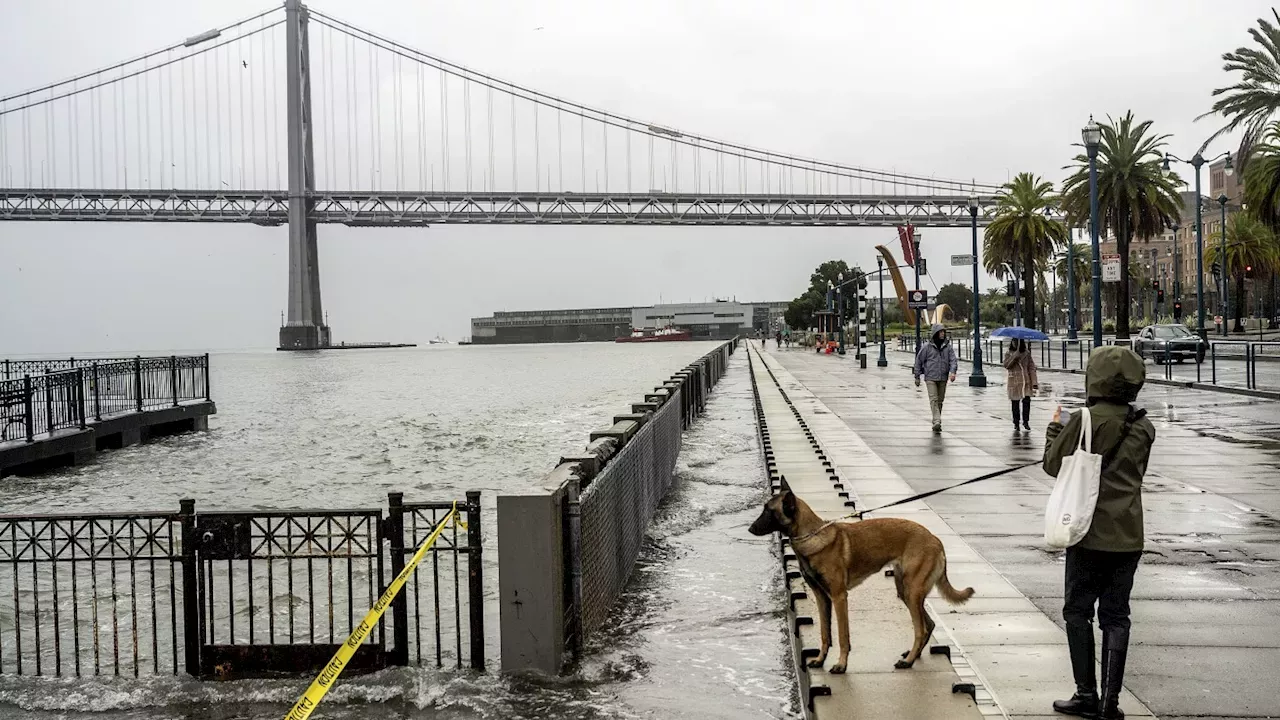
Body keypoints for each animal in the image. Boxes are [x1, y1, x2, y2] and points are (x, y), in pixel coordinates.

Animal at [747, 479, 967, 671]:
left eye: (768, 511)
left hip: (911, 592)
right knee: (928, 624)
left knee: (920, 629)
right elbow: (825, 634)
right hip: (905, 591)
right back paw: (913, 656)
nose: (750, 528)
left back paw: (908, 661)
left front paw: (841, 665)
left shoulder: (839, 597)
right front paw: (820, 659)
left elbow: (842, 636)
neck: (811, 536)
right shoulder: (821, 598)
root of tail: (935, 539)